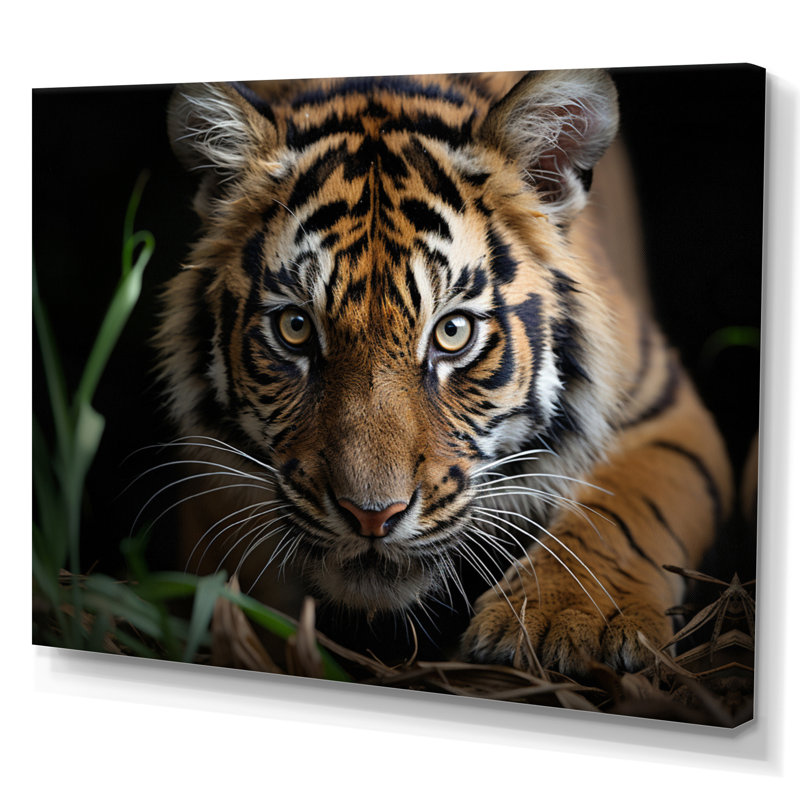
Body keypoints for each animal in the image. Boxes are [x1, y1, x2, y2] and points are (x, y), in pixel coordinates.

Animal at [156, 69, 733, 676]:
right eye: (295, 327)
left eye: (451, 332)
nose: (372, 517)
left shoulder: (661, 407)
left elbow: (623, 510)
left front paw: (569, 618)